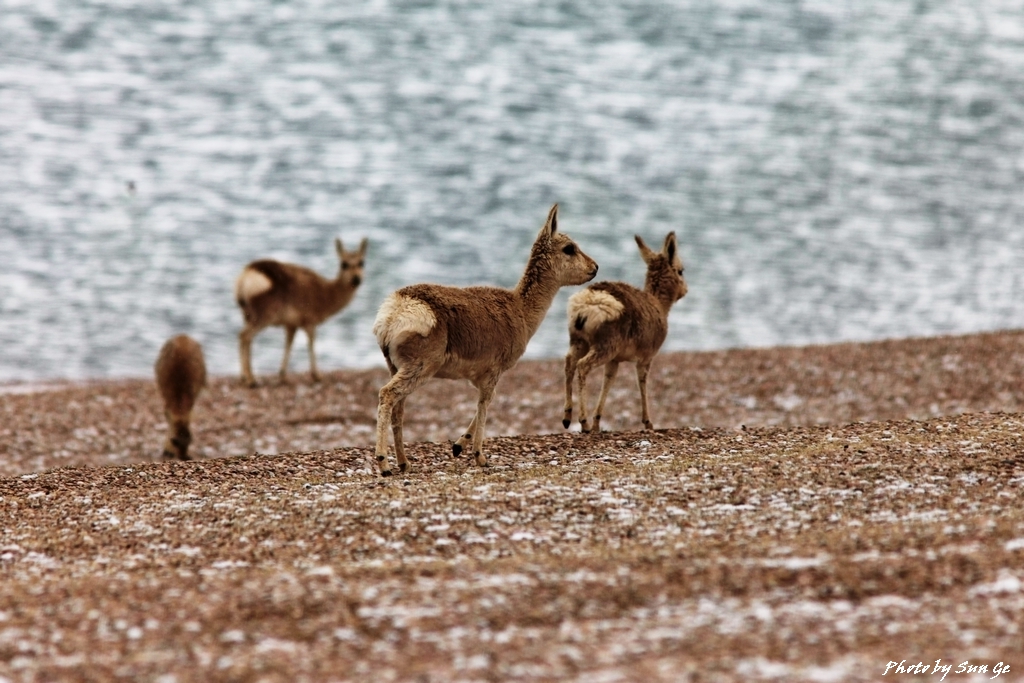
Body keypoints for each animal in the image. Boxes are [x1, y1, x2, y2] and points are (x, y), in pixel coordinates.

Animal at [235, 237, 367, 386]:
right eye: (343, 264)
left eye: (362, 262)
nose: (357, 279)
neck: (326, 293)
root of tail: (245, 275)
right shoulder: (310, 321)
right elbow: (311, 342)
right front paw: (317, 376)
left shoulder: (291, 325)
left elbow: (289, 343)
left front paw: (283, 376)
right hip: (264, 316)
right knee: (245, 336)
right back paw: (251, 379)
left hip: (248, 315)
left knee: (244, 337)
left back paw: (244, 377)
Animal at [372, 204, 598, 476]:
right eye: (569, 247)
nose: (595, 267)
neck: (519, 309)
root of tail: (393, 312)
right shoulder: (493, 373)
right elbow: (484, 405)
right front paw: (480, 457)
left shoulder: (478, 377)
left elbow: (481, 405)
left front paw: (458, 446)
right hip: (419, 368)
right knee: (387, 395)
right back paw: (384, 463)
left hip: (396, 367)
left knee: (398, 408)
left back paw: (404, 462)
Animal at [562, 231, 687, 433]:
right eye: (681, 270)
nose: (685, 290)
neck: (659, 305)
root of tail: (589, 301)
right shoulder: (646, 358)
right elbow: (642, 382)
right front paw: (648, 423)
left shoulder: (615, 360)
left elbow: (608, 381)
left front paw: (597, 423)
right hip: (604, 347)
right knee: (582, 365)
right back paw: (583, 422)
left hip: (579, 341)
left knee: (569, 363)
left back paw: (567, 418)